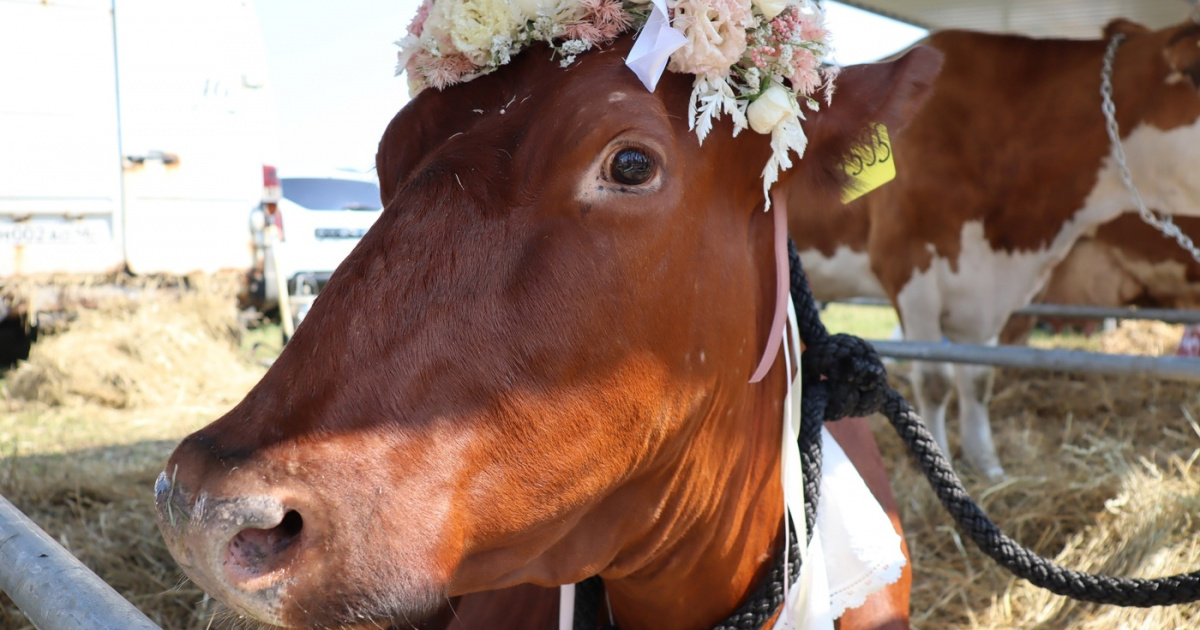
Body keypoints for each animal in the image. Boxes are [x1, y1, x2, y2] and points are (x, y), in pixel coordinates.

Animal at [792, 18, 1200, 480]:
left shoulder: (984, 294)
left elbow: (978, 380)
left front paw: (988, 466)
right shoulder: (909, 270)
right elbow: (935, 380)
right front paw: (941, 460)